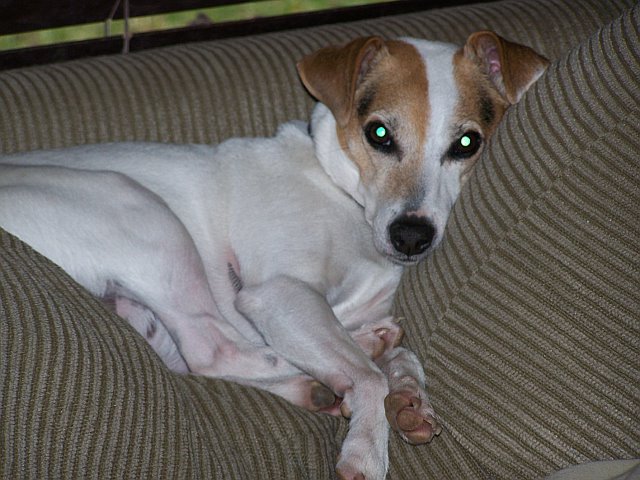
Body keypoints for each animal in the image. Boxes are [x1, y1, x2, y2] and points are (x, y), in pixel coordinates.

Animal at [0, 31, 548, 478]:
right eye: (379, 133)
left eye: (467, 143)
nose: (411, 237)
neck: (343, 195)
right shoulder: (278, 293)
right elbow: (368, 377)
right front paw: (367, 448)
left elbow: (401, 356)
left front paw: (410, 397)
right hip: (137, 209)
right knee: (210, 348)